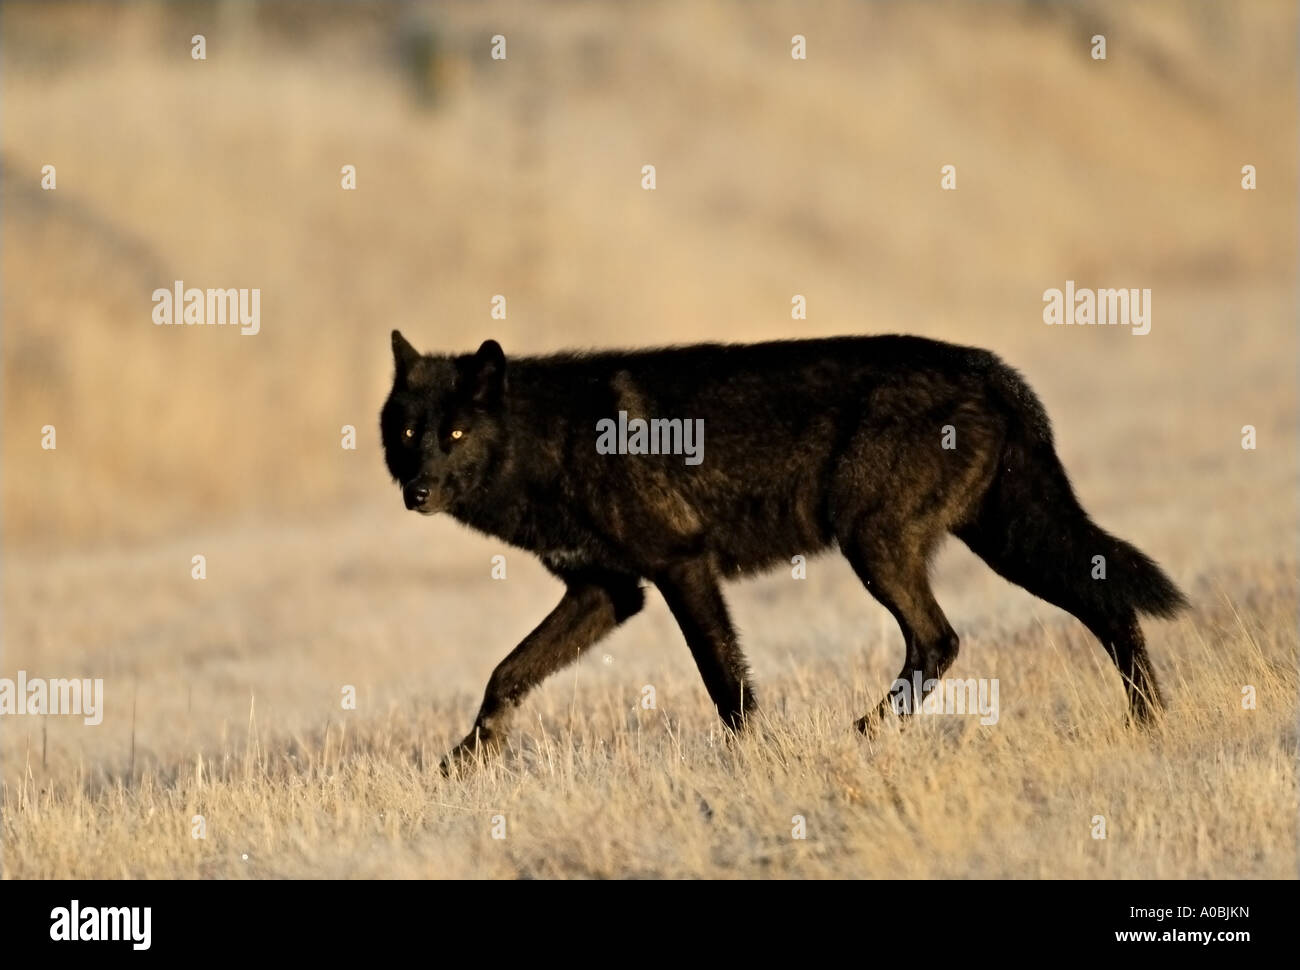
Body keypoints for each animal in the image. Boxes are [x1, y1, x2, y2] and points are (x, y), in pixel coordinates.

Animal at [379, 332, 1190, 769]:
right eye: (410, 431)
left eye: (455, 434)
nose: (416, 491)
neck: (551, 440)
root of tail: (989, 368)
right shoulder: (607, 592)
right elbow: (506, 674)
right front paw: (462, 764)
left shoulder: (679, 567)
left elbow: (726, 684)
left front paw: (754, 763)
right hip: (1006, 543)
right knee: (1107, 605)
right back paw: (1150, 724)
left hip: (878, 546)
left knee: (942, 638)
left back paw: (865, 731)